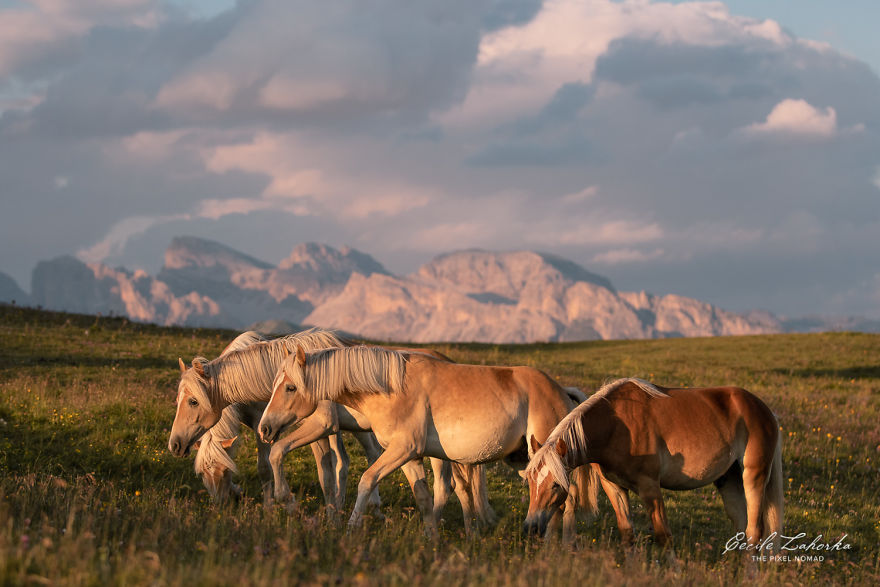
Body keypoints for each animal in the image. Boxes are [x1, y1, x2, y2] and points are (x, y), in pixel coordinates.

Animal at [169, 329, 495, 526]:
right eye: (203, 474)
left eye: (193, 401)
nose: (174, 444)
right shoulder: (271, 428)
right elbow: (304, 469)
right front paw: (323, 515)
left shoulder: (319, 427)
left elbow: (304, 466)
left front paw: (292, 505)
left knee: (445, 484)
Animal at [258, 345, 599, 538]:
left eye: (290, 387)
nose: (264, 427)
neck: (390, 387)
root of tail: (561, 392)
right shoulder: (409, 456)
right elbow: (423, 496)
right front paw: (431, 538)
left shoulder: (400, 450)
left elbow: (366, 480)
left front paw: (351, 528)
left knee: (565, 498)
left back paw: (560, 547)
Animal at [522, 378, 784, 563]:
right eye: (531, 484)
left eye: (556, 485)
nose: (530, 527)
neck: (616, 426)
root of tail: (764, 410)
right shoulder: (615, 487)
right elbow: (627, 535)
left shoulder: (649, 488)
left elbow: (663, 536)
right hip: (728, 480)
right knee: (742, 527)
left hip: (754, 476)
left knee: (755, 530)